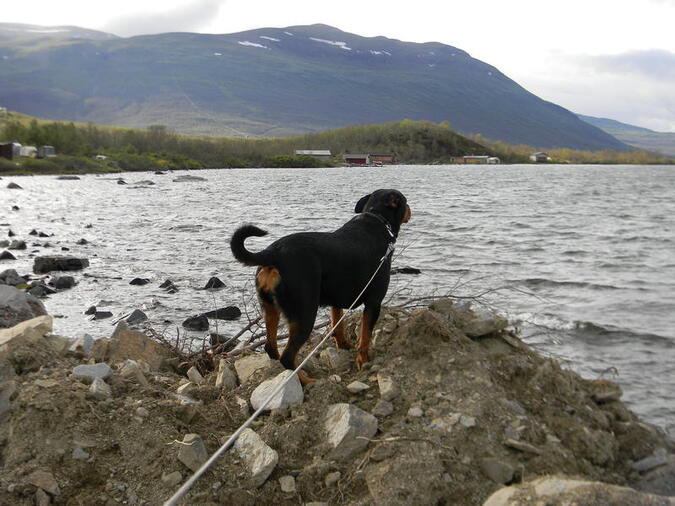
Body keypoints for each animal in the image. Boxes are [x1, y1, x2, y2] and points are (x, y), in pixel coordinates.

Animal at [231, 190, 412, 384]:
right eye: (405, 201)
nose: (410, 209)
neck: (378, 218)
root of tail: (273, 252)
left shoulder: (337, 298)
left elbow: (337, 325)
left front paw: (344, 345)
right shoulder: (374, 303)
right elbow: (365, 337)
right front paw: (363, 362)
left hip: (270, 308)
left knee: (271, 347)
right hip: (305, 313)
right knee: (287, 356)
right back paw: (306, 380)